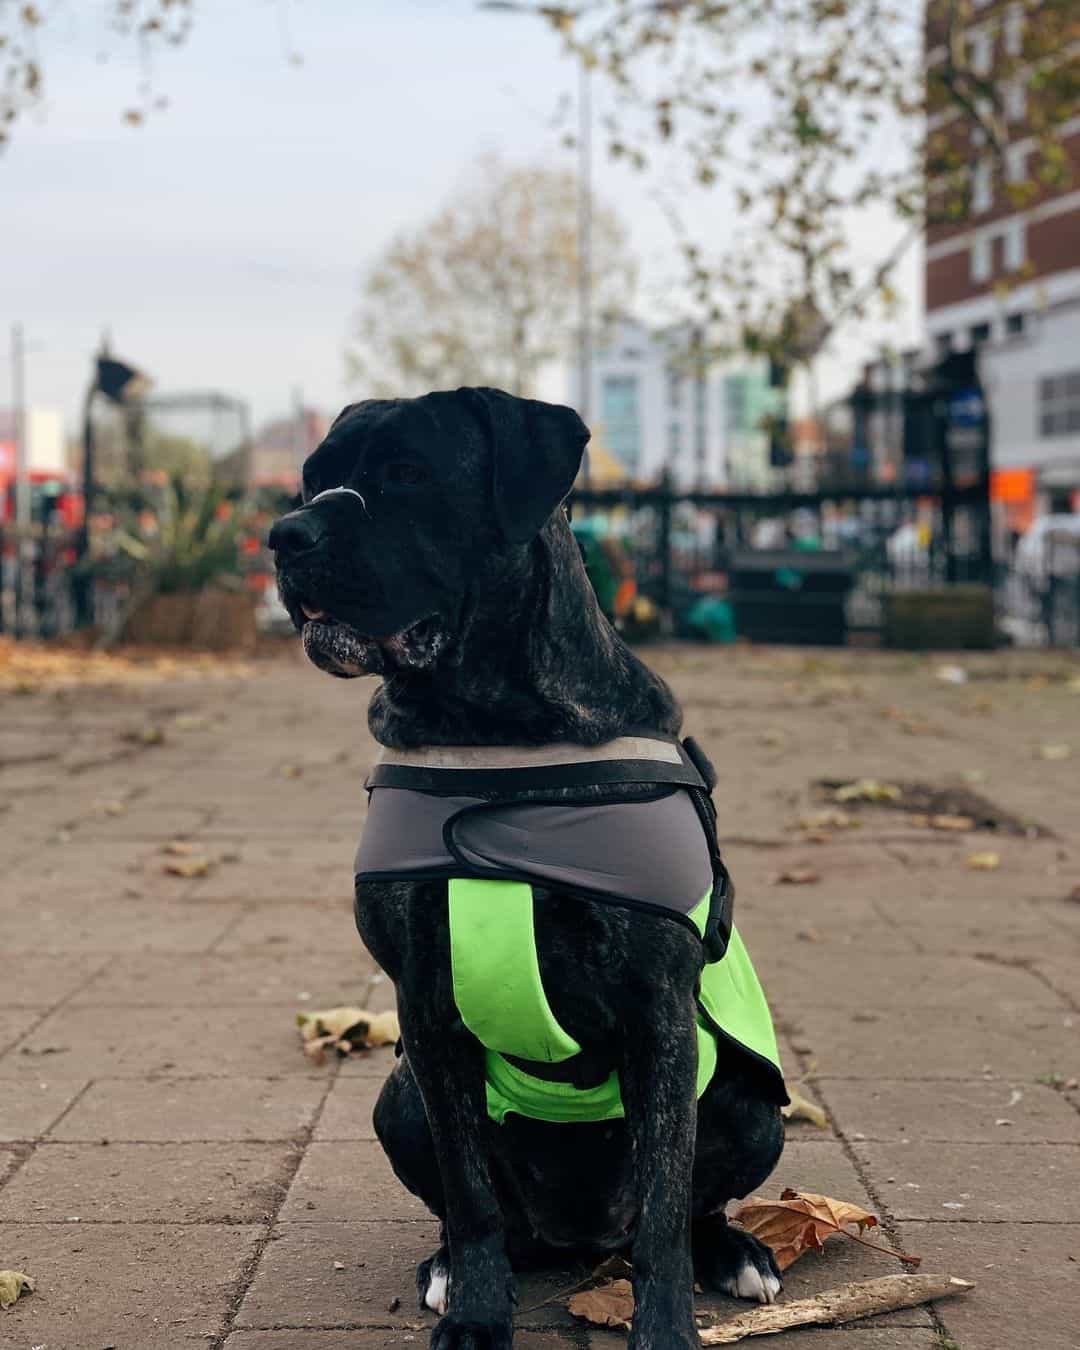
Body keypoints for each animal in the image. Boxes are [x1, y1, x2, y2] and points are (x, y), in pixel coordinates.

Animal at [267, 386, 783, 1344]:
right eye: (314, 480)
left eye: (409, 473)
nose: (286, 534)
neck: (493, 730)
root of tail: (577, 1239)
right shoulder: (426, 1006)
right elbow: (469, 1193)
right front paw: (476, 1313)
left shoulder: (657, 1007)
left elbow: (665, 1206)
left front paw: (665, 1329)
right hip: (397, 1098)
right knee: (480, 1214)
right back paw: (449, 1265)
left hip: (752, 1103)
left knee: (688, 1208)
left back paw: (736, 1254)